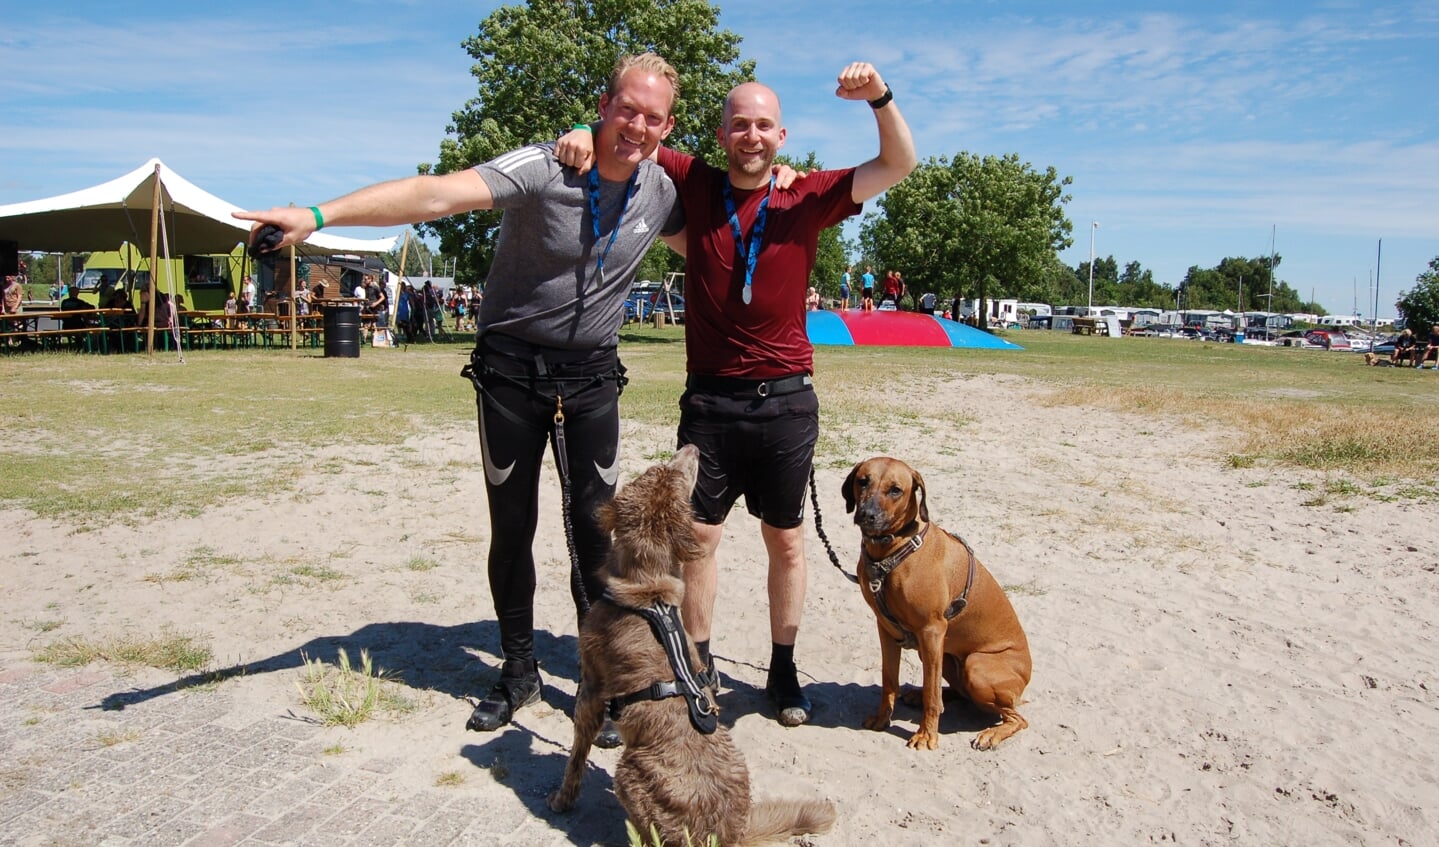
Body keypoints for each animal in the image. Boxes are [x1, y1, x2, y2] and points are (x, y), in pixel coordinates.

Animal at [543, 445, 834, 839]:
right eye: (665, 470)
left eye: (675, 473)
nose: (693, 448)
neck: (648, 591)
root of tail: (728, 831)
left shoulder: (590, 689)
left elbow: (576, 754)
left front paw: (562, 798)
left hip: (627, 774)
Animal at [840, 460, 1036, 747]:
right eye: (863, 481)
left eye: (896, 490)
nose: (867, 514)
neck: (893, 549)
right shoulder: (886, 628)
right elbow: (889, 680)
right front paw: (882, 718)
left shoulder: (932, 631)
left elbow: (933, 697)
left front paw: (926, 735)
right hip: (946, 657)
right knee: (961, 693)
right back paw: (918, 695)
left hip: (976, 666)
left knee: (1016, 717)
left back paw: (991, 733)